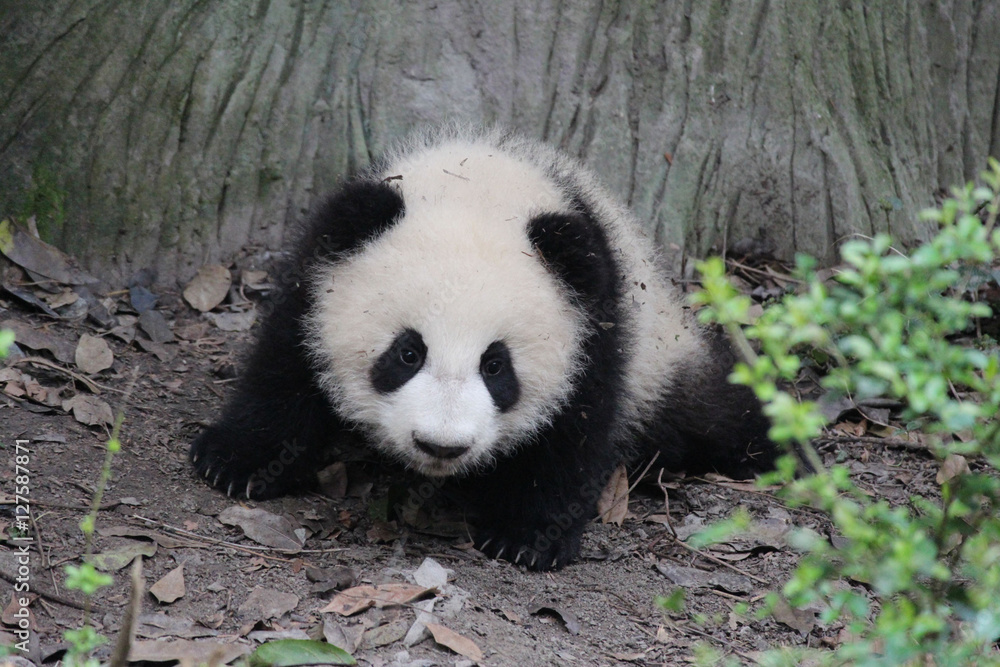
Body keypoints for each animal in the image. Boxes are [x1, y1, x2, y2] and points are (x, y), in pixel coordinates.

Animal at [190, 127, 776, 570]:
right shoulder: (320, 269)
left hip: (663, 354)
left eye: (496, 365)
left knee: (716, 415)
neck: (478, 185)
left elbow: (576, 427)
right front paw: (237, 461)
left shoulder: (595, 317)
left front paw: (528, 537)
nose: (441, 445)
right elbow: (285, 367)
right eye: (408, 353)